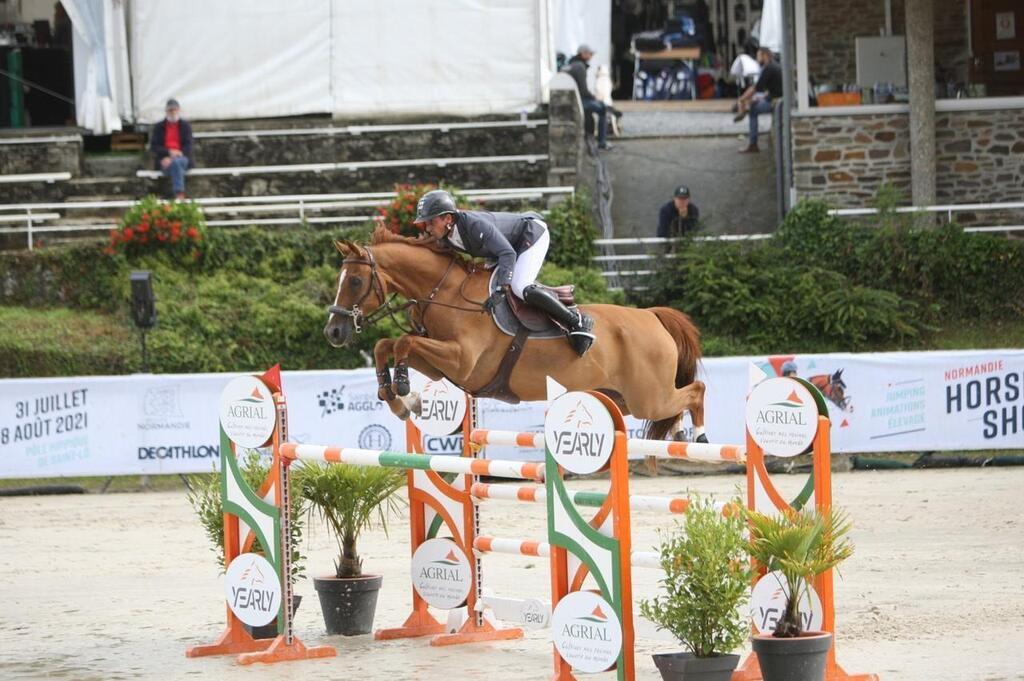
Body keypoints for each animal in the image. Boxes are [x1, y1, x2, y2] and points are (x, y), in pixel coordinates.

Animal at [321, 225, 704, 440]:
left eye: (355, 281)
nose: (334, 331)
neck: (445, 293)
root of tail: (652, 317)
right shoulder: (444, 364)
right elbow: (386, 344)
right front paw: (399, 398)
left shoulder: (462, 362)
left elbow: (402, 341)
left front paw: (403, 390)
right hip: (624, 398)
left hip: (647, 398)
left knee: (695, 391)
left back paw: (697, 436)